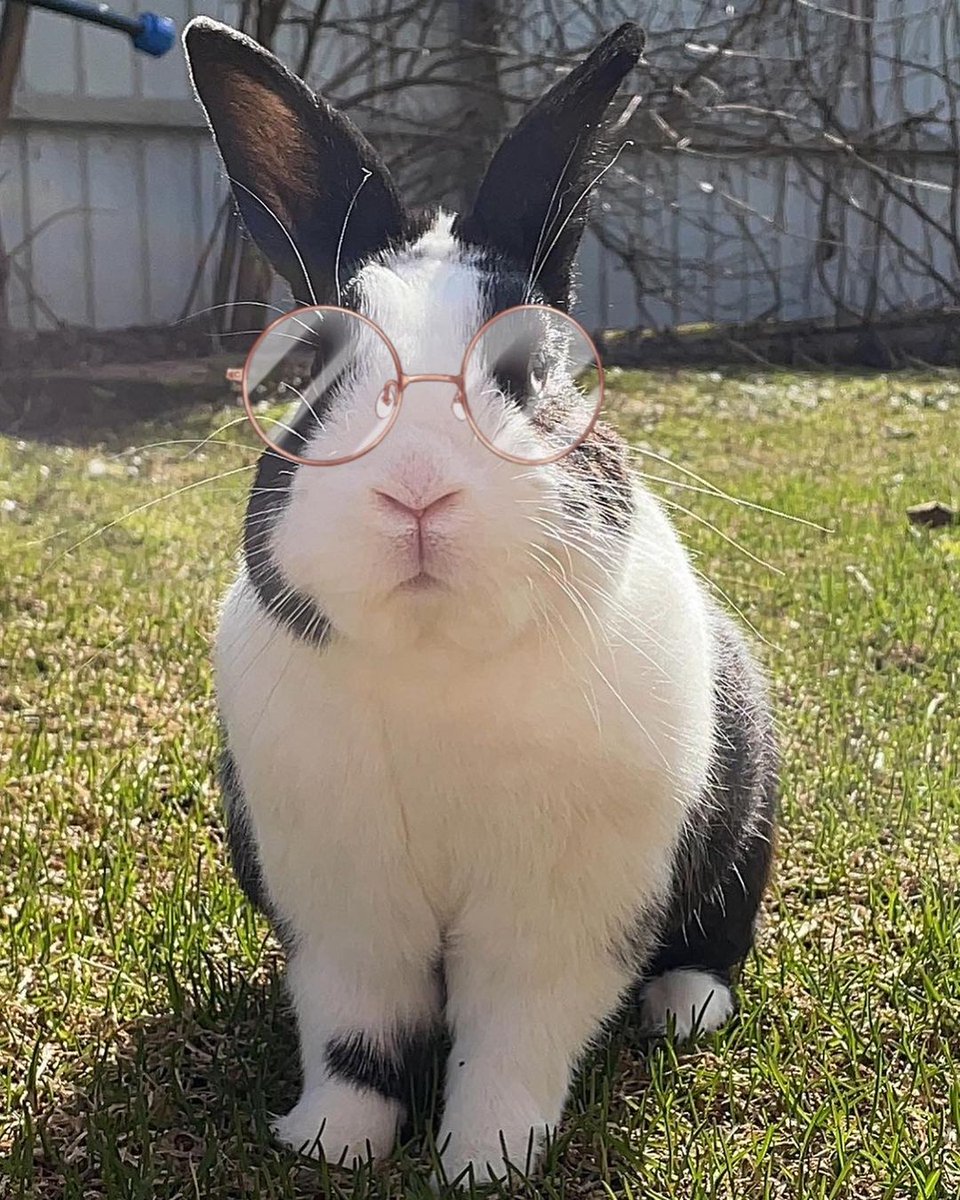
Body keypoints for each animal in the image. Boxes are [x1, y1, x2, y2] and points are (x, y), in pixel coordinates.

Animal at [184, 15, 778, 1188]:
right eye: (316, 369)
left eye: (533, 367)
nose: (417, 487)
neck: (435, 661)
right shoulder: (340, 911)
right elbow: (356, 1036)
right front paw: (329, 1143)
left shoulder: (560, 919)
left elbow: (515, 1039)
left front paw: (486, 1161)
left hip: (750, 820)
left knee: (715, 940)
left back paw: (684, 1008)